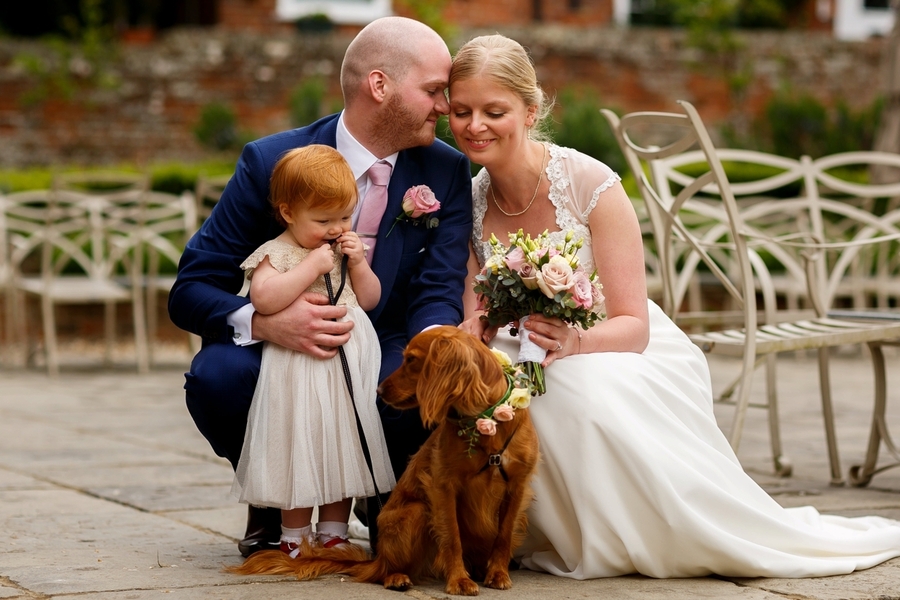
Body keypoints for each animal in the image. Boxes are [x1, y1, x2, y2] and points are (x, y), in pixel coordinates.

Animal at [229, 326, 536, 596]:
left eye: (411, 360)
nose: (378, 391)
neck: (488, 422)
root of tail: (378, 557)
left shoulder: (517, 486)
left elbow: (504, 535)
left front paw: (498, 574)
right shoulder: (443, 486)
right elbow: (452, 538)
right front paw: (459, 580)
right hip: (415, 512)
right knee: (384, 571)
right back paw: (396, 577)